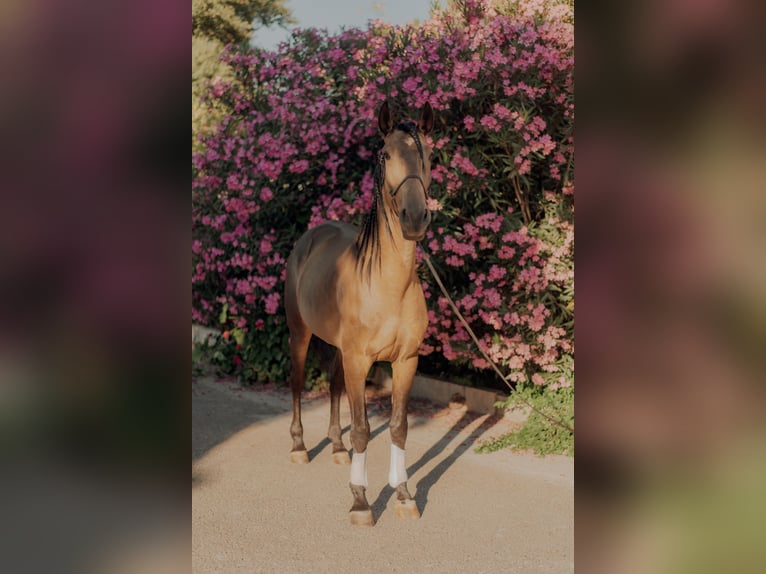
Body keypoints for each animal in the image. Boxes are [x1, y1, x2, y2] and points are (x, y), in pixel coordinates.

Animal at [284, 101, 434, 526]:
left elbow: (398, 428)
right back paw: (300, 447)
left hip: (338, 350)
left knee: (334, 387)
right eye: (386, 155)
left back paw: (336, 448)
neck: (390, 286)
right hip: (300, 335)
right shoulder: (359, 360)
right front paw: (360, 502)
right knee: (298, 384)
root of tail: (309, 237)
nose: (414, 218)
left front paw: (403, 496)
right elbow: (364, 430)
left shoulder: (405, 361)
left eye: (429, 155)